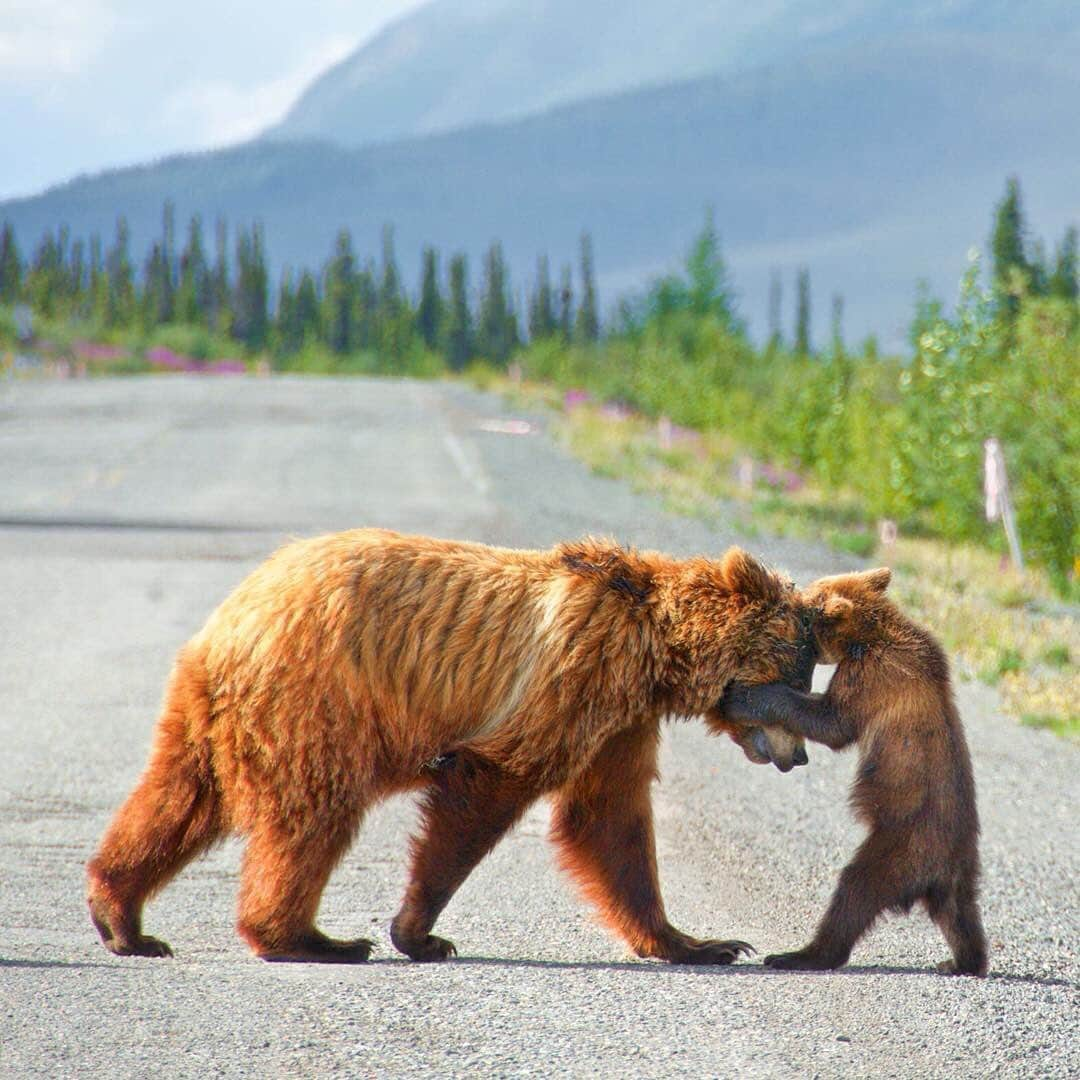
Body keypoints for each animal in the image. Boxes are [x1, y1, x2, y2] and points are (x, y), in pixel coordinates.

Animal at [90, 529, 812, 963]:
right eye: (798, 676)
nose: (799, 755)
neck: (654, 652)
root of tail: (235, 616)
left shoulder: (617, 720)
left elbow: (611, 819)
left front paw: (699, 941)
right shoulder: (572, 674)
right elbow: (492, 783)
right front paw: (419, 932)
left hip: (212, 712)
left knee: (178, 799)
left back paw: (121, 916)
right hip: (317, 698)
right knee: (312, 814)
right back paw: (309, 937)